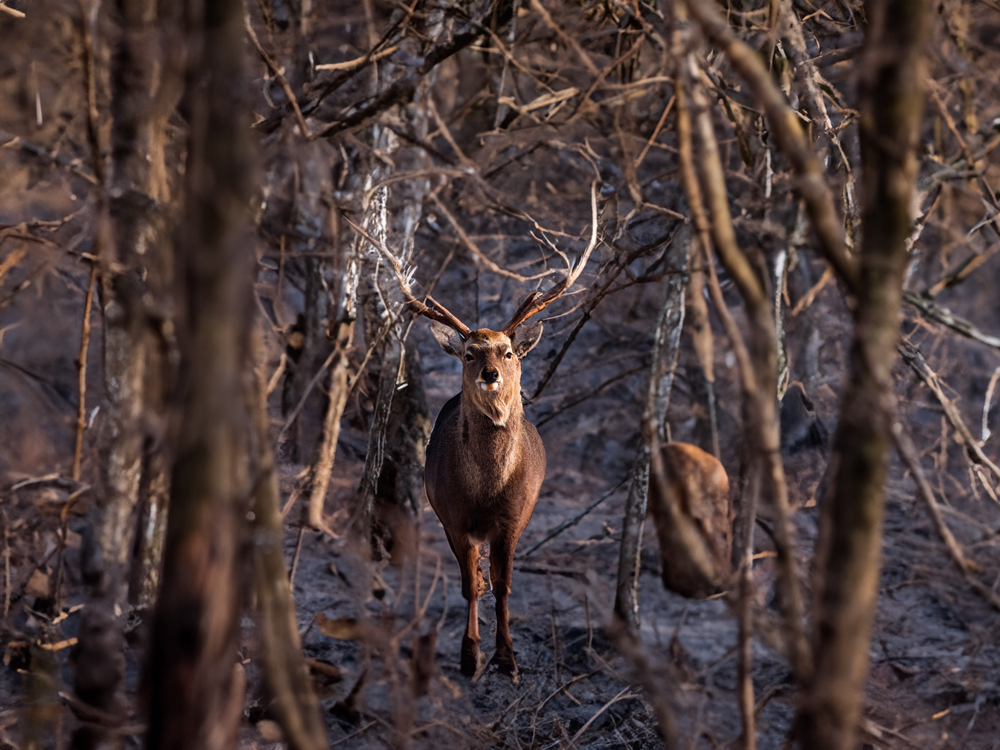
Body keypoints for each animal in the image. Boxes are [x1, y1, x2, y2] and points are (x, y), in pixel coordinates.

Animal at [358, 182, 596, 680]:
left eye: (507, 351)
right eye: (469, 353)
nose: (489, 373)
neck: (486, 490)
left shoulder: (514, 518)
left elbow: (506, 587)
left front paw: (508, 659)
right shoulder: (452, 516)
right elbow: (469, 584)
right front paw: (471, 656)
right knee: (471, 577)